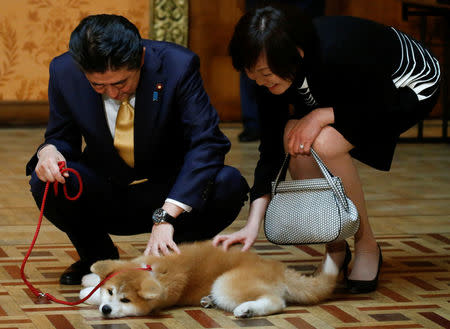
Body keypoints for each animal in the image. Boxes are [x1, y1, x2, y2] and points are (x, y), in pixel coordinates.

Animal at [80, 240, 338, 316]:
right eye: (111, 292)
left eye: (125, 301)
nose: (105, 310)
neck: (151, 270)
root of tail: (278, 267)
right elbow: (100, 278)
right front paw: (90, 280)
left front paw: (87, 294)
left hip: (225, 284)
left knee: (276, 302)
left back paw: (247, 310)